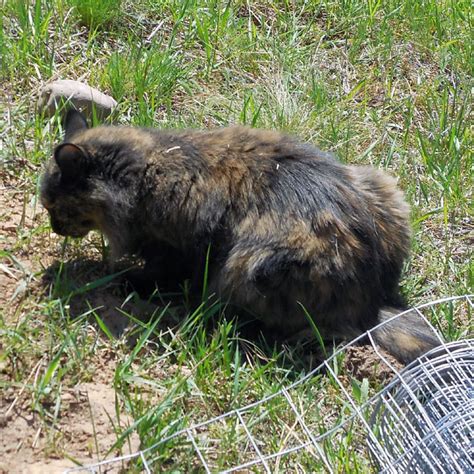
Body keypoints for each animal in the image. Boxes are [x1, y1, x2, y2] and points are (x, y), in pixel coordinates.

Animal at [41, 110, 440, 362]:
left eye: (54, 208)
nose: (54, 228)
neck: (143, 169)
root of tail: (372, 302)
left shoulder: (175, 245)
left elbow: (157, 271)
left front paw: (123, 279)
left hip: (249, 264)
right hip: (383, 186)